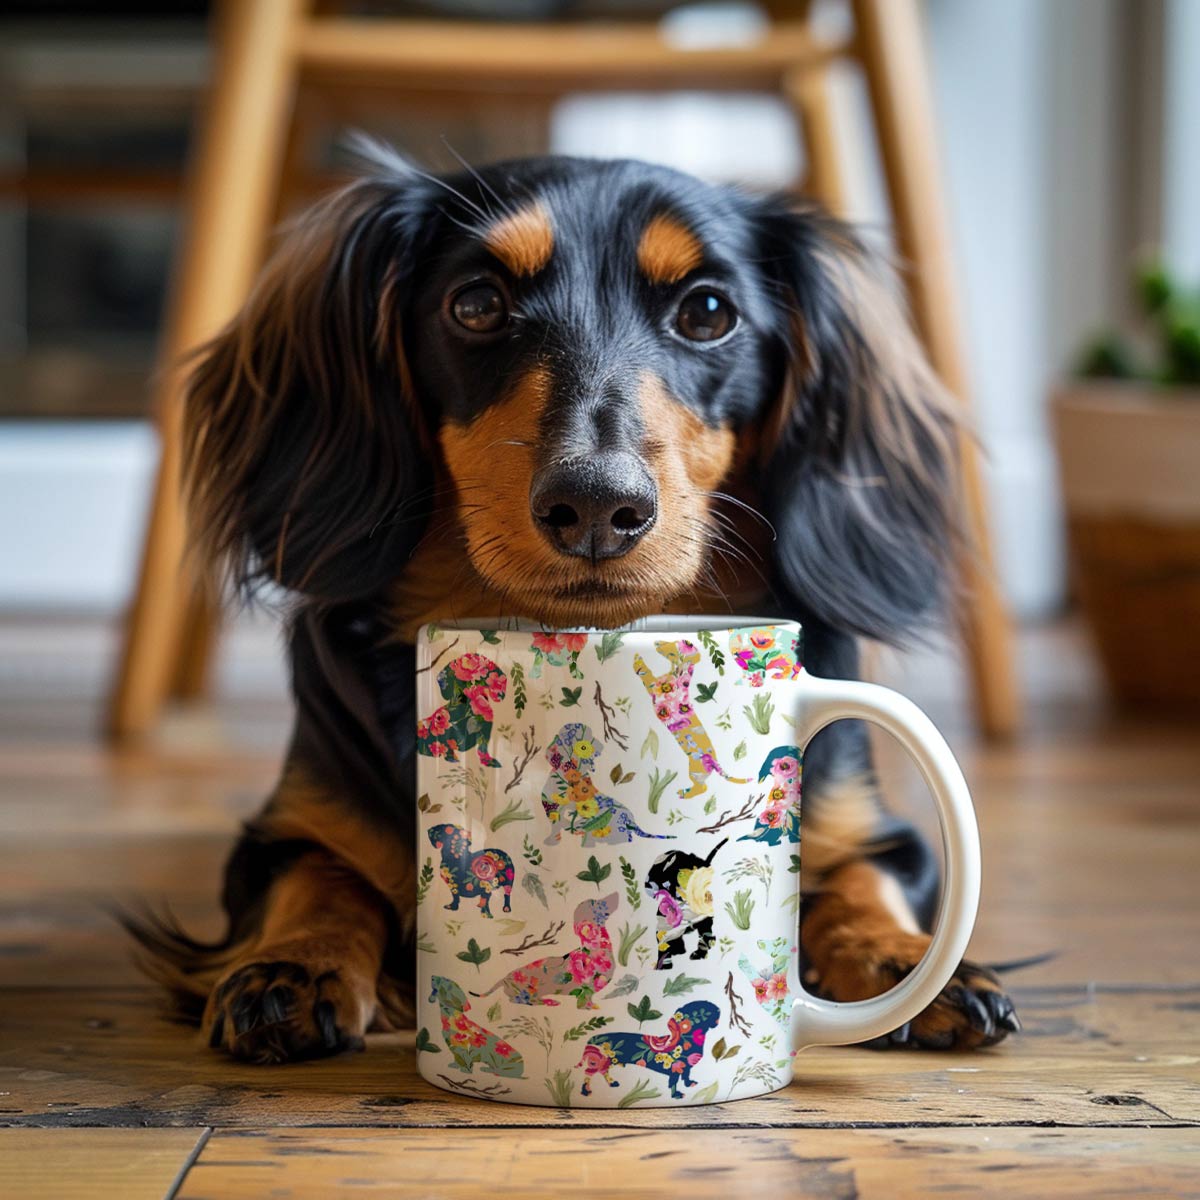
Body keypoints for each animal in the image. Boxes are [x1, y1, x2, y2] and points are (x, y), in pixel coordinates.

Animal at [121, 147, 1017, 1060]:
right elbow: (319, 872)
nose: (595, 504)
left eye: (707, 311)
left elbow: (864, 873)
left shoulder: (867, 825)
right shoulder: (292, 824)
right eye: (477, 303)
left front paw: (901, 957)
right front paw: (293, 967)